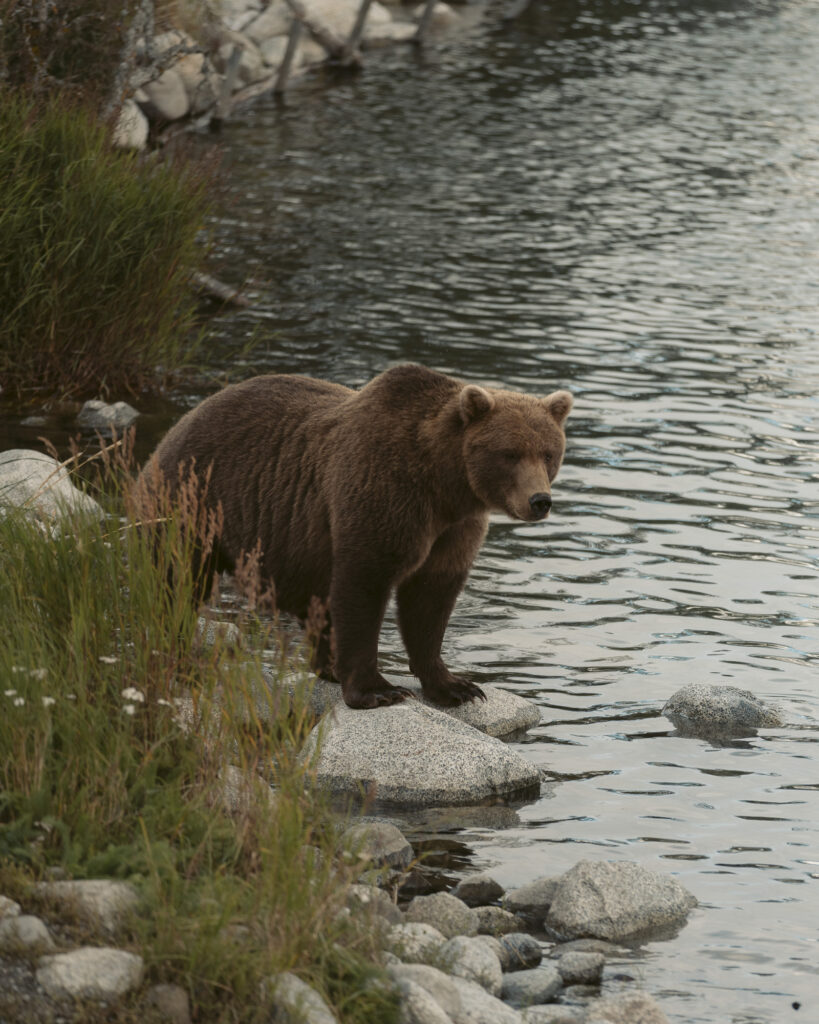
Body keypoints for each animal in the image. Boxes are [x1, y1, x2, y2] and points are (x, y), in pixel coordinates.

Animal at [137, 364, 573, 710]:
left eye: (548, 453)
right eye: (510, 453)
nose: (539, 501)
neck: (444, 483)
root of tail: (175, 429)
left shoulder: (453, 529)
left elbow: (430, 599)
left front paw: (457, 686)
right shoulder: (382, 495)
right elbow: (364, 585)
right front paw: (378, 690)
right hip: (194, 500)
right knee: (176, 580)